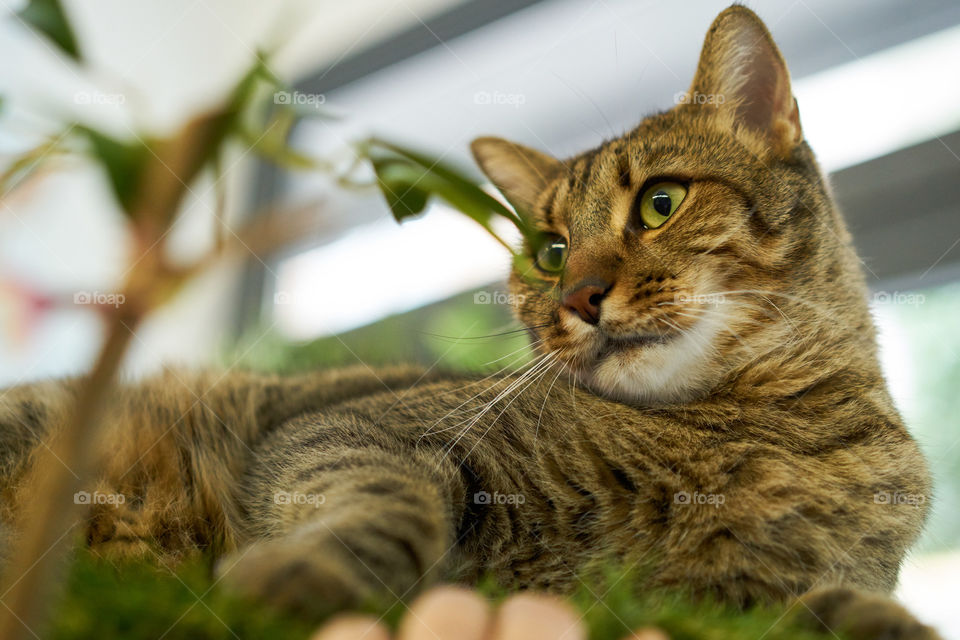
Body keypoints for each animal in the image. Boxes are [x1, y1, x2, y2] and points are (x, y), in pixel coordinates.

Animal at [0, 6, 936, 640]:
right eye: (551, 250)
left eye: (661, 203)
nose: (578, 296)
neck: (761, 428)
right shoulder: (351, 430)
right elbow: (394, 504)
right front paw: (305, 571)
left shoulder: (718, 594)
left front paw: (876, 618)